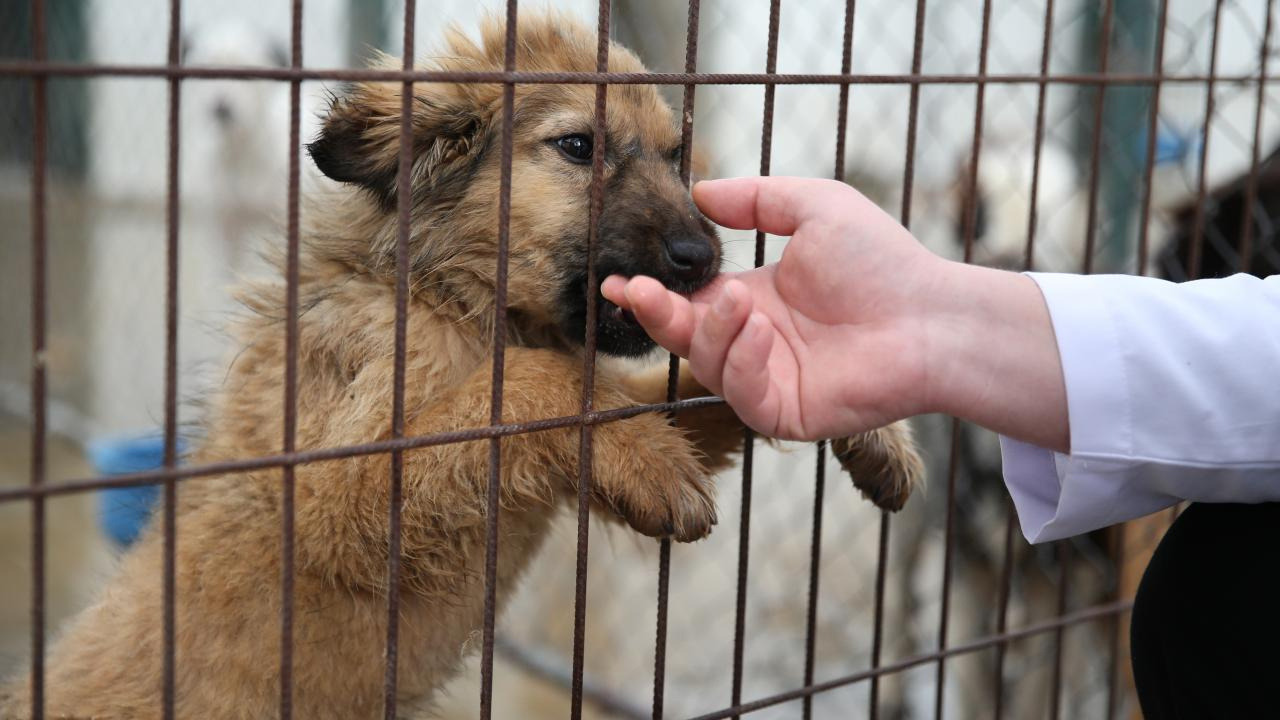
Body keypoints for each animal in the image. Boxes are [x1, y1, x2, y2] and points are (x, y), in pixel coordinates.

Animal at [0, 12, 921, 717]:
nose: (701, 261)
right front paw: (648, 460)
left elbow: (690, 393)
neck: (456, 299)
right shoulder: (335, 491)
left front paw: (866, 418)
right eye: (577, 145)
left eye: (675, 158)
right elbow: (525, 388)